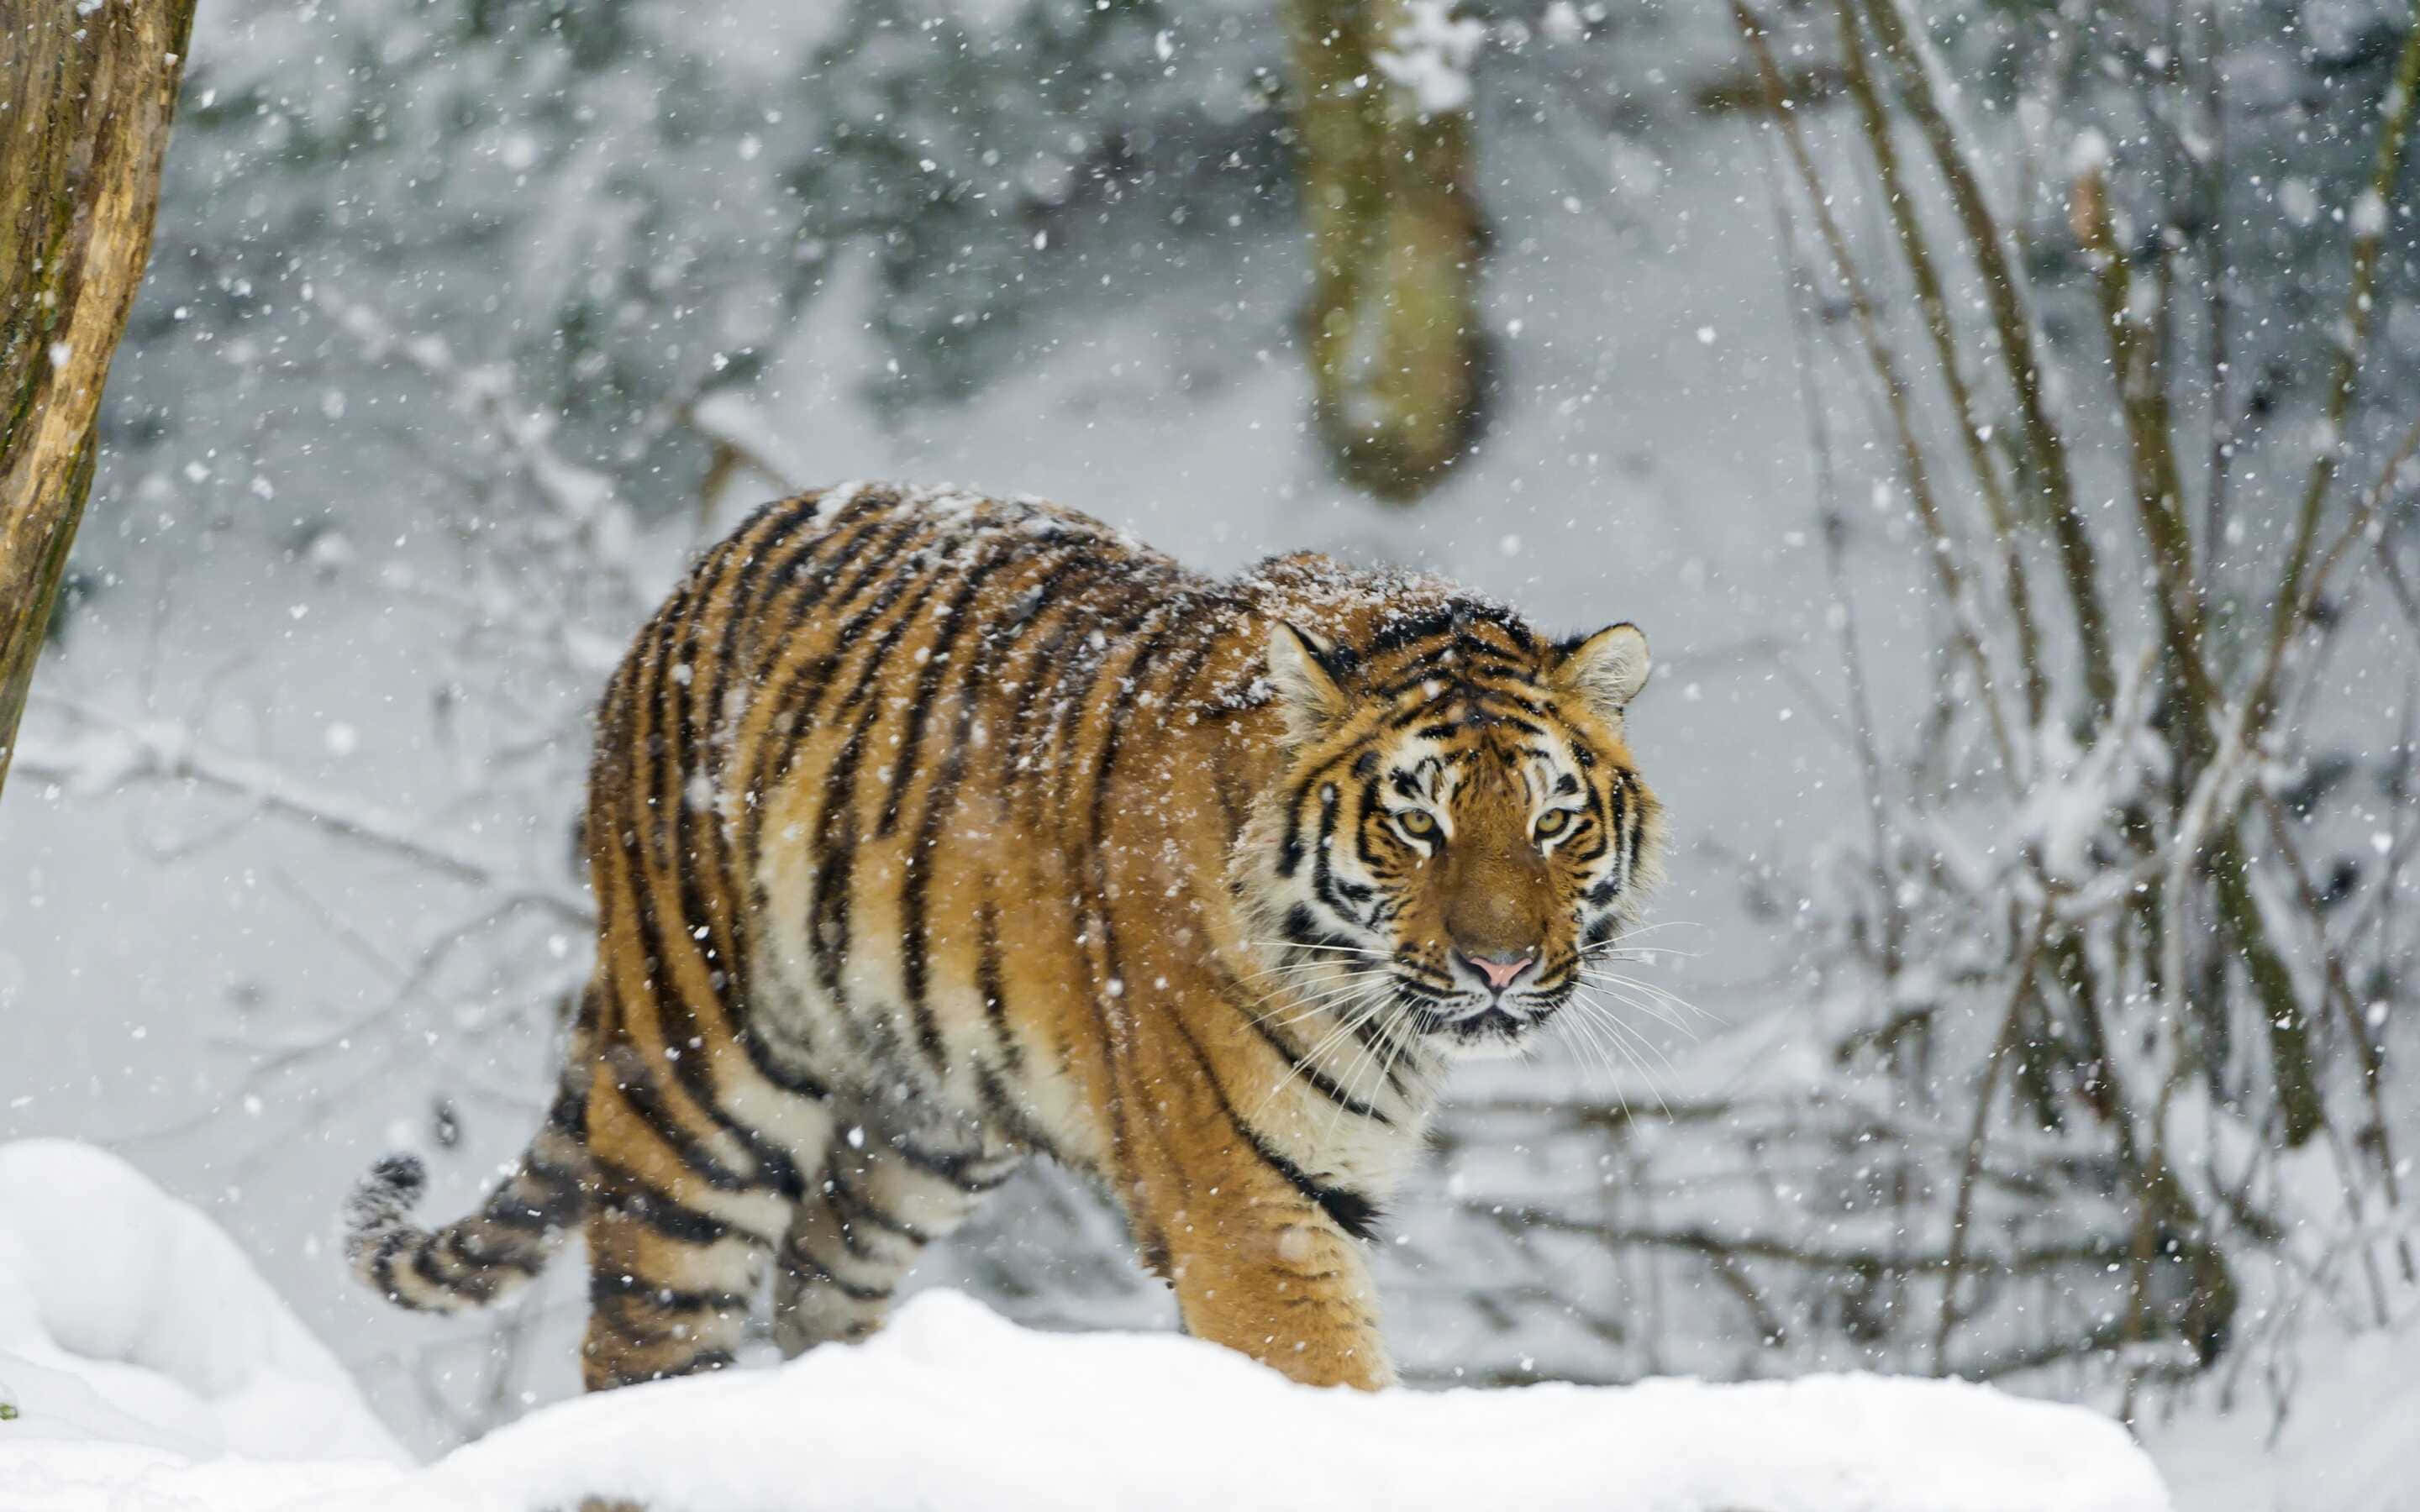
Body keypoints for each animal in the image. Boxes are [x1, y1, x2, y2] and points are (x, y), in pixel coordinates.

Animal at [345, 481, 1663, 1394]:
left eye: (1552, 820)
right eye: (1415, 823)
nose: (1498, 964)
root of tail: (687, 585)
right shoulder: (1253, 1214)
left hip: (917, 1130)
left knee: (818, 1281)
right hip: (701, 1091)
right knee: (641, 1342)